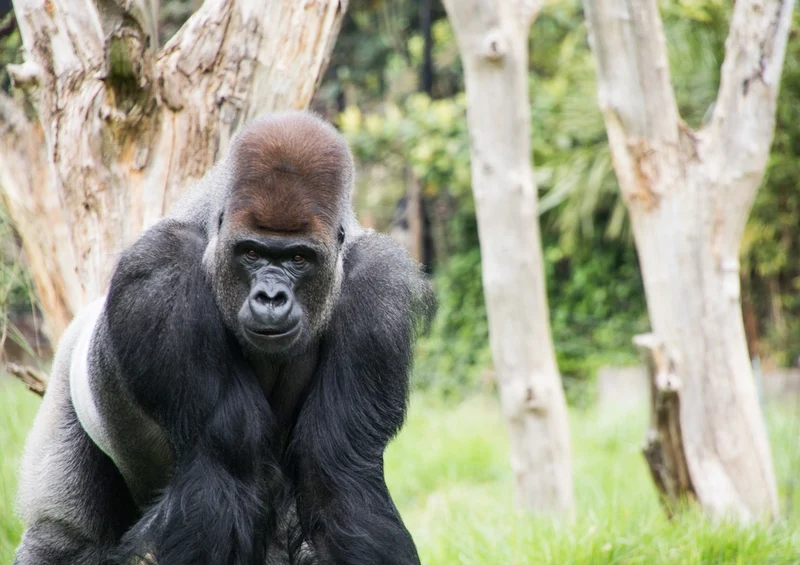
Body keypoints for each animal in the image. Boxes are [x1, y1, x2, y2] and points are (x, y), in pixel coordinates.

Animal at [13, 111, 433, 565]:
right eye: (251, 253)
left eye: (298, 258)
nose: (271, 297)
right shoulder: (162, 272)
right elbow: (224, 468)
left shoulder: (378, 293)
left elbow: (339, 477)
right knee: (61, 532)